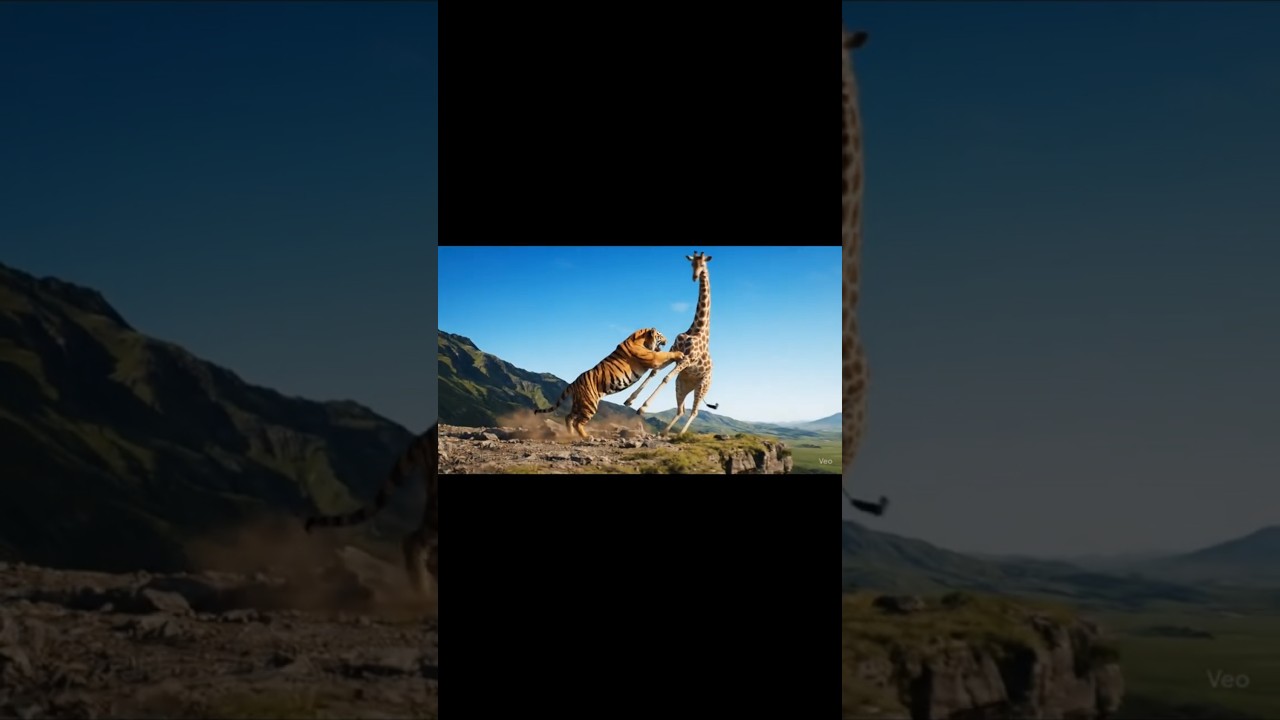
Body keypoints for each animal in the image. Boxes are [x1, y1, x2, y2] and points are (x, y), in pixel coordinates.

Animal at [534, 327, 684, 439]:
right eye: (661, 335)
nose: (667, 339)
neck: (640, 339)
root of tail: (573, 382)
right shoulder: (652, 358)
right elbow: (665, 355)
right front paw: (679, 354)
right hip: (589, 404)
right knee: (577, 422)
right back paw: (586, 437)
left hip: (579, 403)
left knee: (568, 417)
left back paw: (570, 434)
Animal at [627, 252, 714, 435]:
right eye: (692, 264)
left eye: (703, 264)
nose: (695, 277)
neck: (696, 329)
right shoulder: (675, 353)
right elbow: (654, 372)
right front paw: (630, 400)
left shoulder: (687, 359)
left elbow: (665, 377)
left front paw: (643, 408)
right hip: (682, 384)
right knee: (681, 409)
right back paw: (665, 432)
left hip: (702, 387)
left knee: (694, 411)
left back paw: (680, 435)